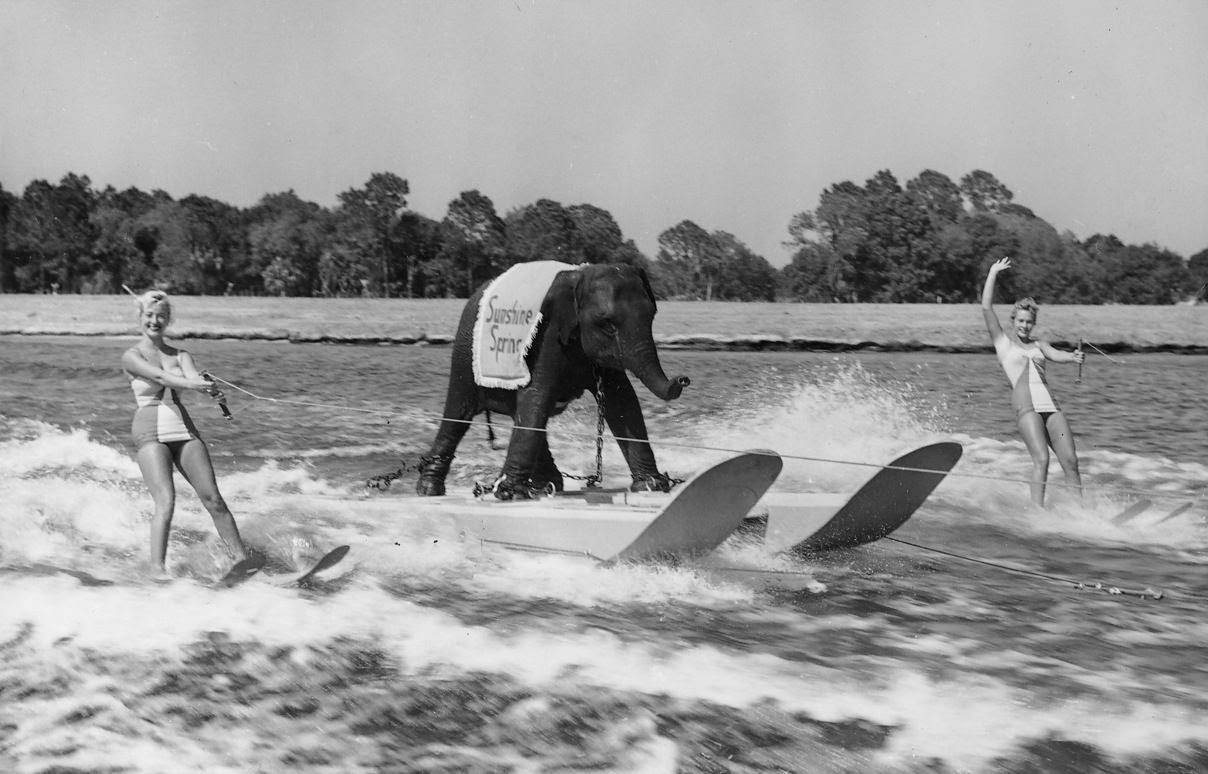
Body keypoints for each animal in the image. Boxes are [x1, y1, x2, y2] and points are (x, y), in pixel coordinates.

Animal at [420, 263, 690, 497]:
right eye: (607, 324)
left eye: (652, 316)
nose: (683, 379)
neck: (579, 277)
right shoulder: (546, 335)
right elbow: (536, 394)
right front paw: (509, 494)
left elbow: (622, 400)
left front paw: (652, 486)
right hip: (464, 352)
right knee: (458, 413)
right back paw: (430, 489)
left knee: (523, 414)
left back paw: (545, 486)